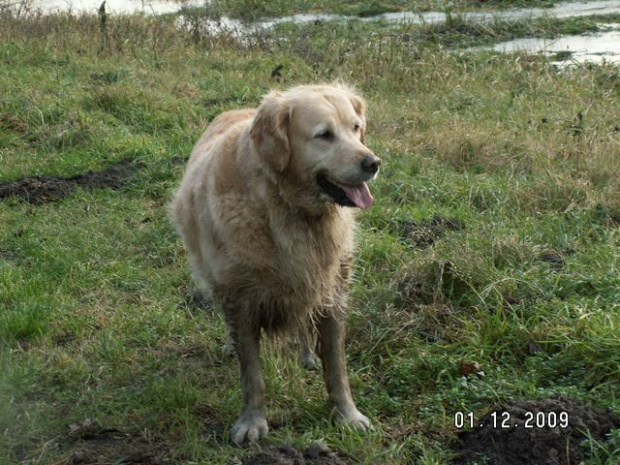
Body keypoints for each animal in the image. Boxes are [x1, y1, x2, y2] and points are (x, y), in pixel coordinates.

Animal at [172, 82, 380, 442]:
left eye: (356, 128)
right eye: (324, 135)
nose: (373, 163)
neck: (288, 209)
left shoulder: (332, 288)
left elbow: (336, 365)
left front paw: (347, 415)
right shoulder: (240, 297)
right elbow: (252, 373)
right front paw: (252, 422)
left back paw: (307, 355)